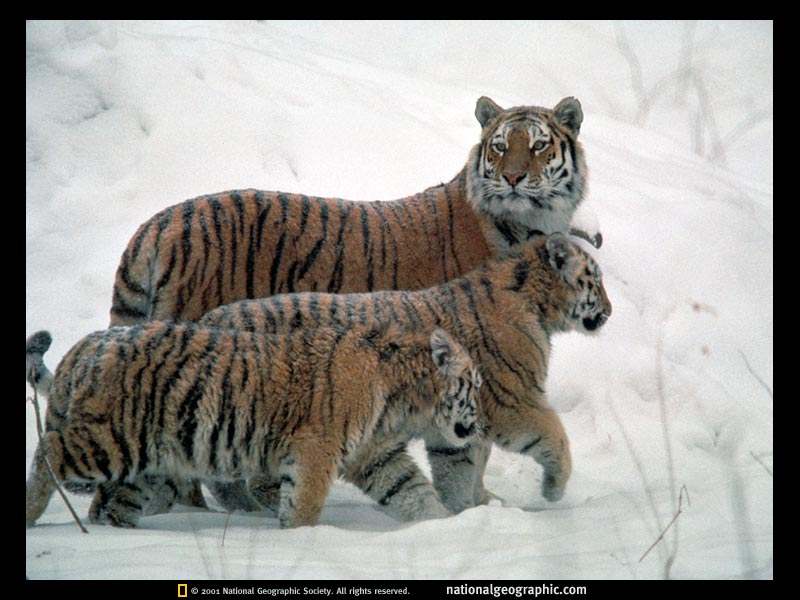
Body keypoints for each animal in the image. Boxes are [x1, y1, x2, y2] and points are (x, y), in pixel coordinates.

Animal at [25, 321, 482, 529]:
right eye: (474, 385)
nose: (479, 425)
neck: (401, 399)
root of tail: (85, 346)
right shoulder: (316, 451)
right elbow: (304, 504)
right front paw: (301, 538)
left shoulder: (377, 454)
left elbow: (413, 492)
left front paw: (445, 525)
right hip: (112, 440)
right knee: (49, 451)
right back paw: (31, 515)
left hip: (144, 467)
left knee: (112, 505)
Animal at [199, 232, 611, 514]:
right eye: (595, 279)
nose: (609, 311)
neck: (537, 307)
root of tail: (208, 317)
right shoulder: (512, 402)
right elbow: (554, 436)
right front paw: (552, 491)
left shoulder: (465, 422)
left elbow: (464, 467)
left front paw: (476, 505)